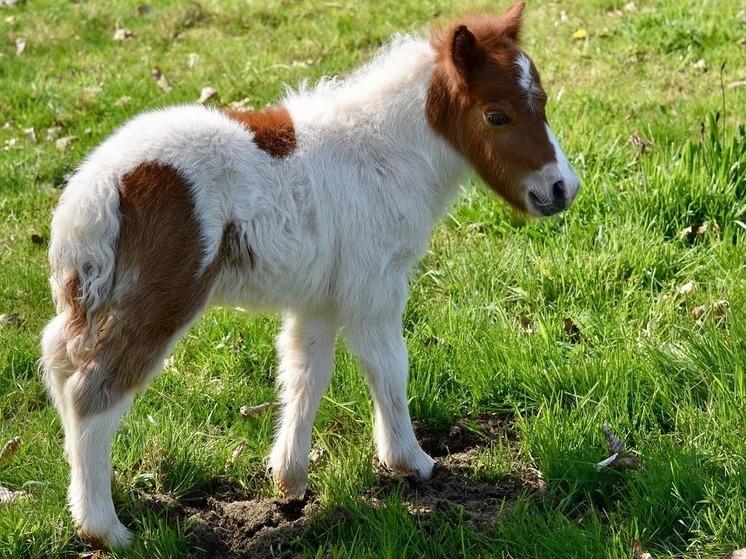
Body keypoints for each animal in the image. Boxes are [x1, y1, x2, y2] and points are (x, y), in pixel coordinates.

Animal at [40, 2, 580, 548]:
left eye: (543, 101)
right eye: (497, 115)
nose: (563, 189)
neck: (384, 153)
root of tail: (98, 191)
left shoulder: (318, 299)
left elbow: (306, 372)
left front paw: (290, 480)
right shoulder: (375, 286)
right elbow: (388, 365)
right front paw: (410, 462)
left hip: (93, 300)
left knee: (59, 363)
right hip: (161, 301)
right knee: (92, 392)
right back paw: (106, 530)